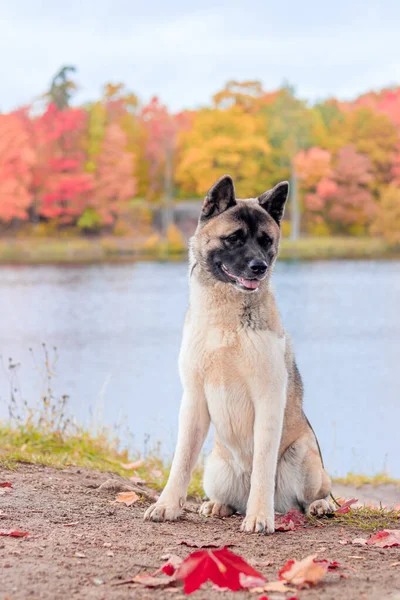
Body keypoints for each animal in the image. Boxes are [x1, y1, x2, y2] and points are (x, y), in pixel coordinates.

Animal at [145, 175, 332, 536]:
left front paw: (260, 516)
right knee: (230, 498)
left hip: (303, 455)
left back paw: (319, 505)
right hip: (216, 469)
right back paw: (217, 505)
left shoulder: (268, 397)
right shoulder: (194, 398)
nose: (259, 267)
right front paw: (167, 505)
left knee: (315, 492)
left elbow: (262, 465)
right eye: (234, 238)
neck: (226, 320)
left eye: (266, 240)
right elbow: (181, 460)